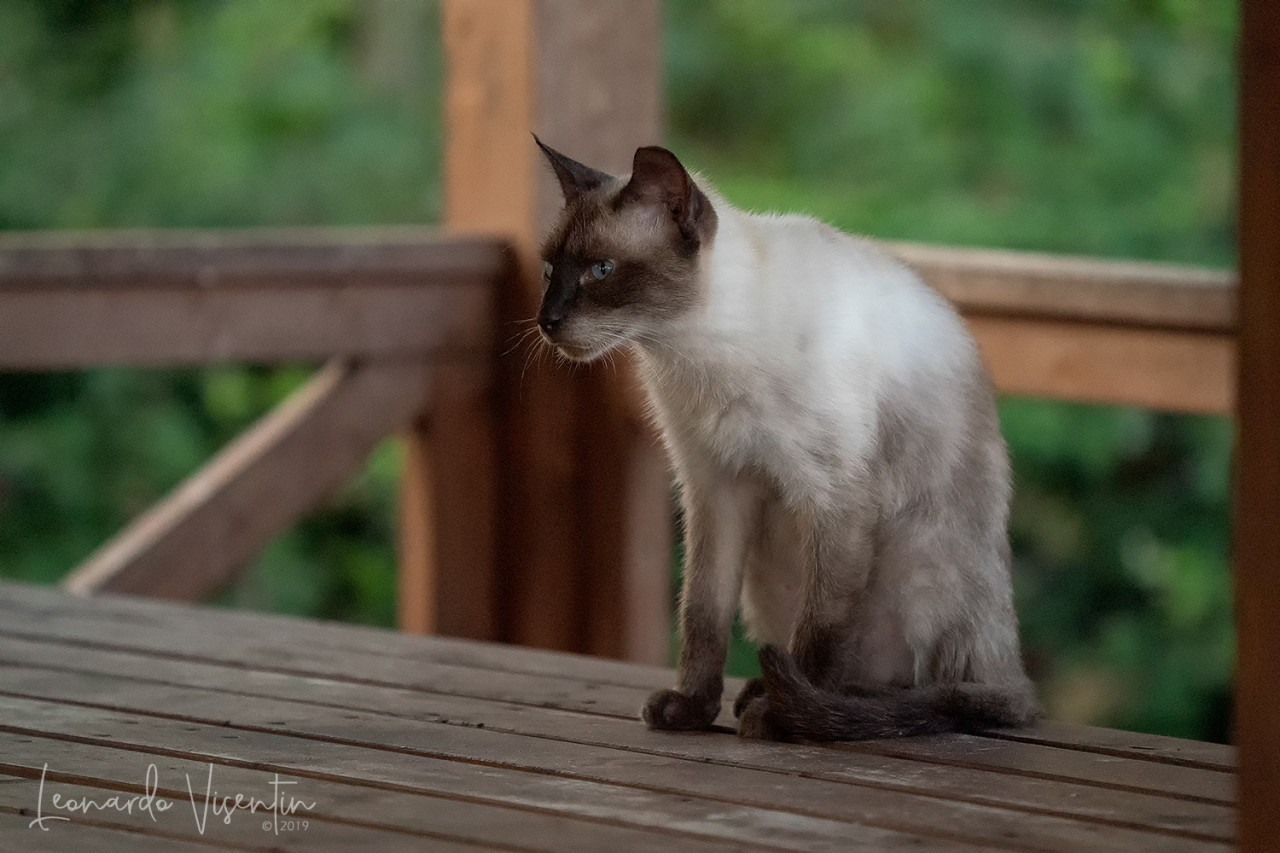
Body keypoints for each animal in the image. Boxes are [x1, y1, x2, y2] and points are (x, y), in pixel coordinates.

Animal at [535, 137, 1034, 737]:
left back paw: (800, 706)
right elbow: (703, 612)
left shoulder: (834, 497)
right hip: (766, 573)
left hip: (915, 563)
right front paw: (691, 709)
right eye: (548, 271)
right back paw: (758, 693)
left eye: (600, 270)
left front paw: (781, 721)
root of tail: (1016, 671)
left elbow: (819, 635)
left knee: (918, 692)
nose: (545, 321)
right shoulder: (714, 487)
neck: (694, 348)